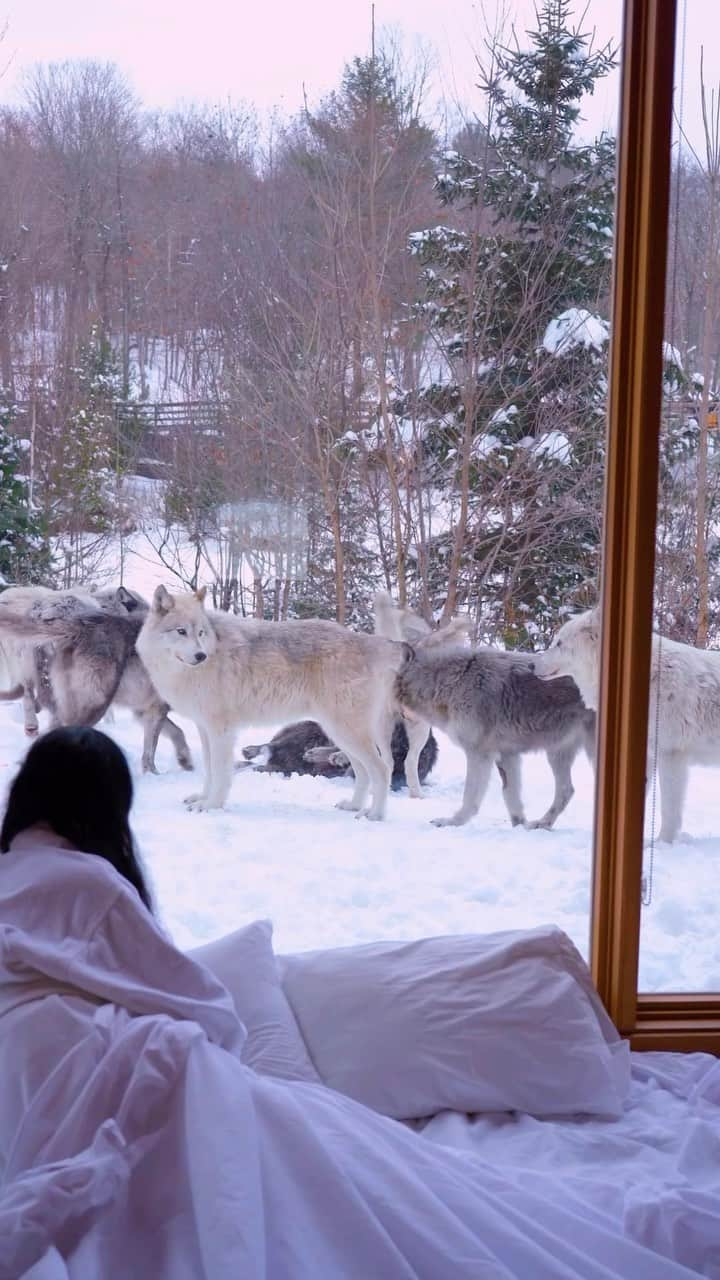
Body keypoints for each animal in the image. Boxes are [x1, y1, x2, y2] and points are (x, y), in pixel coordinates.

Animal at [135, 586, 409, 814]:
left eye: (200, 633)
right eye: (181, 631)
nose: (200, 655)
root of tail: (371, 641)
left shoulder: (221, 731)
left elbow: (221, 773)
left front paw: (212, 806)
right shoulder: (205, 729)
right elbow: (210, 770)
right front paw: (203, 799)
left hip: (346, 732)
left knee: (382, 769)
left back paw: (374, 815)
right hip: (338, 735)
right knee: (363, 772)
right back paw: (353, 806)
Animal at [394, 650, 591, 829]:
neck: (456, 681)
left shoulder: (479, 754)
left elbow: (470, 796)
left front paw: (453, 822)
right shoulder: (507, 755)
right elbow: (510, 795)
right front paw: (519, 826)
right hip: (557, 754)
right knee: (566, 790)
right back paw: (542, 824)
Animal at [532, 606, 720, 844]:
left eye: (559, 643)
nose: (531, 665)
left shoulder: (671, 755)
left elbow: (669, 809)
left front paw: (661, 844)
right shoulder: (648, 756)